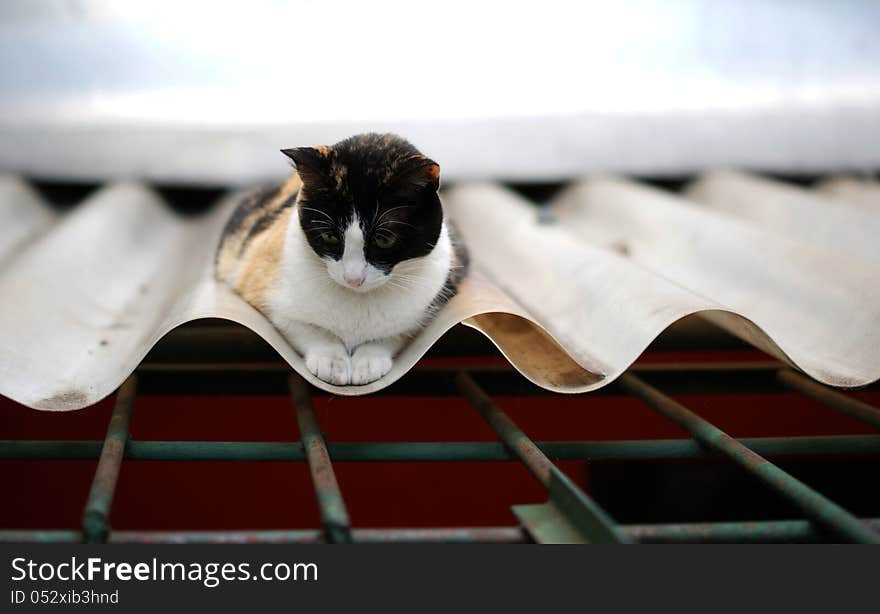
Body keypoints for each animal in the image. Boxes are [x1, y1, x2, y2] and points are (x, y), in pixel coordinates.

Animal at [215, 133, 468, 388]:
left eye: (384, 239)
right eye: (330, 236)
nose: (353, 278)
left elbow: (395, 333)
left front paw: (368, 361)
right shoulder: (263, 286)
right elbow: (303, 327)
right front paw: (331, 360)